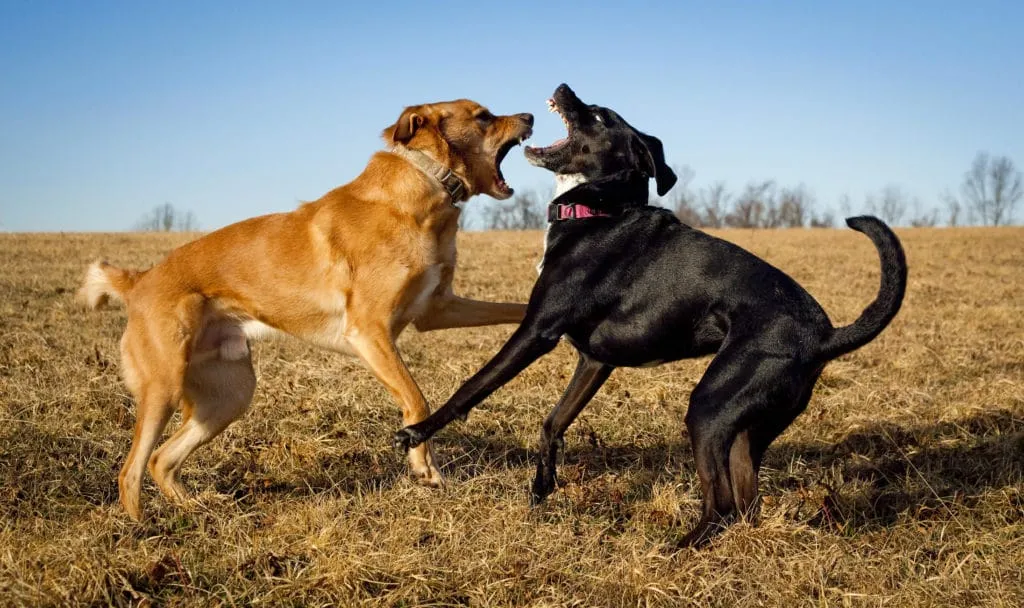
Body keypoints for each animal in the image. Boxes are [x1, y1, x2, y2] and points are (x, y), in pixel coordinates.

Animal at [77, 98, 536, 515]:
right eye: (483, 116)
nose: (530, 115)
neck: (423, 188)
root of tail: (139, 279)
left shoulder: (437, 309)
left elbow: (511, 308)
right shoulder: (369, 331)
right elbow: (417, 401)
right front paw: (424, 469)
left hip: (229, 396)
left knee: (161, 460)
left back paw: (196, 510)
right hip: (164, 387)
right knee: (131, 471)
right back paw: (142, 530)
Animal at [391, 83, 905, 544]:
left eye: (599, 116)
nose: (564, 86)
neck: (599, 210)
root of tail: (825, 335)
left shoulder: (537, 330)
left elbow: (474, 385)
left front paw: (416, 433)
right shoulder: (595, 361)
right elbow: (553, 422)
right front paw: (541, 489)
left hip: (709, 409)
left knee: (722, 503)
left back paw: (676, 548)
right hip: (745, 425)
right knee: (746, 502)